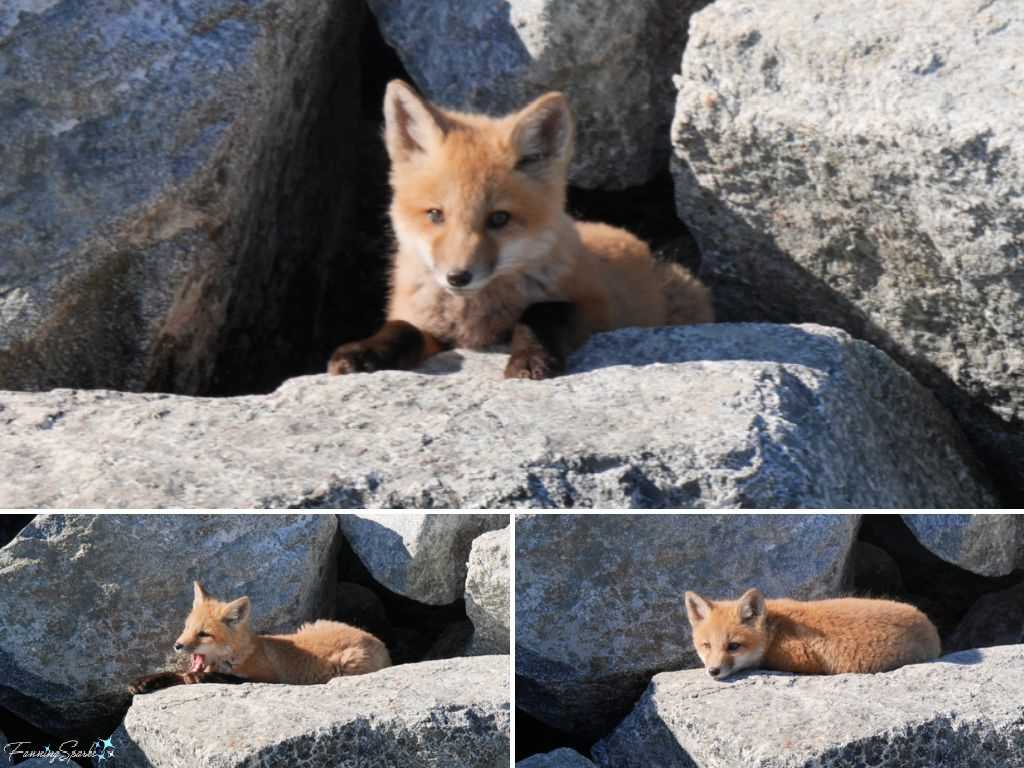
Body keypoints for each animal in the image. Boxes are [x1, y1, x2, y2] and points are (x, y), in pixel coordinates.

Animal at [128, 581, 391, 694]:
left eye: (204, 634)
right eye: (186, 628)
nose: (177, 645)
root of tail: (377, 639)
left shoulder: (270, 679)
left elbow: (227, 679)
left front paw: (205, 677)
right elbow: (174, 675)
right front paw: (144, 681)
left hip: (348, 666)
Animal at [327, 79, 713, 380]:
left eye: (499, 218)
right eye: (436, 215)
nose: (457, 277)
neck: (473, 319)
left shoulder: (595, 306)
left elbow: (541, 313)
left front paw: (531, 356)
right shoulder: (423, 321)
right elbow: (401, 328)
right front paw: (364, 351)